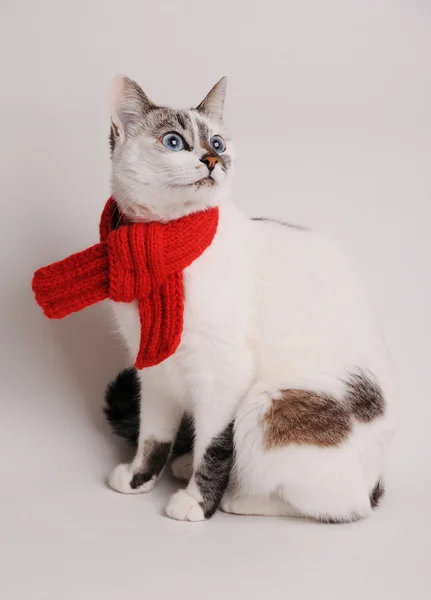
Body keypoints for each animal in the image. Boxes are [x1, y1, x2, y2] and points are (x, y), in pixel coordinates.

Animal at [105, 75, 394, 524]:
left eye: (218, 143)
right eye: (174, 142)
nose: (212, 160)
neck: (167, 244)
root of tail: (376, 481)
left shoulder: (224, 374)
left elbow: (214, 447)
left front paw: (198, 501)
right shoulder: (153, 371)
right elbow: (153, 436)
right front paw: (140, 478)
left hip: (268, 405)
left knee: (341, 506)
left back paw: (240, 497)